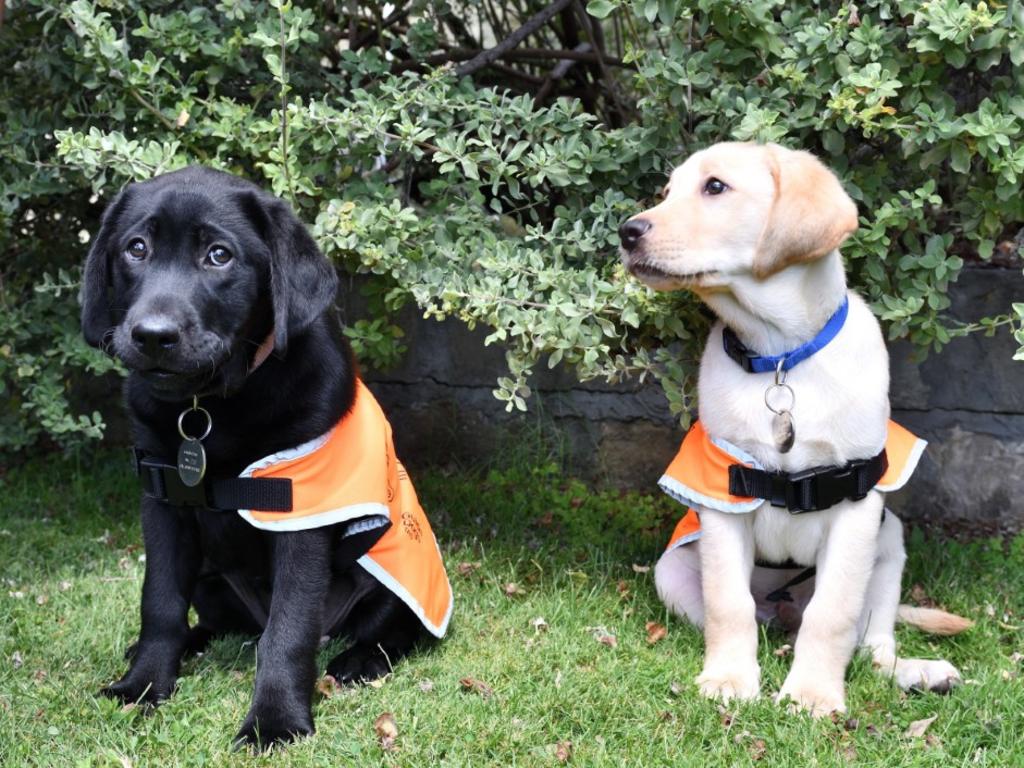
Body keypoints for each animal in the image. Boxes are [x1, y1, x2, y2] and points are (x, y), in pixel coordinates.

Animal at [79, 167, 448, 753]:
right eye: (136, 249)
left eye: (219, 256)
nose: (152, 336)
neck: (206, 407)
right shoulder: (163, 503)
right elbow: (159, 603)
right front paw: (143, 684)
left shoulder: (301, 519)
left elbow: (289, 630)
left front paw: (274, 720)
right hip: (210, 575)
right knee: (216, 621)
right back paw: (185, 643)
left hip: (388, 567)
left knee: (390, 630)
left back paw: (357, 661)